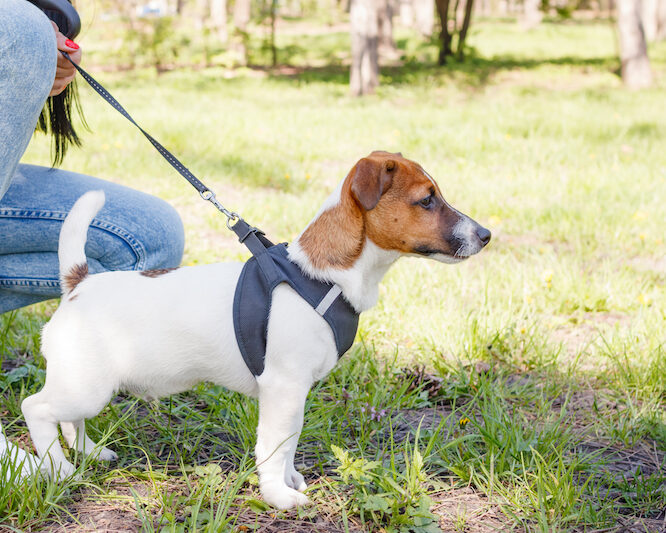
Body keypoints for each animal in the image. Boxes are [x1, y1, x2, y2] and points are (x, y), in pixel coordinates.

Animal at [22, 150, 488, 508]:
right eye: (426, 200)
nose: (485, 234)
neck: (323, 278)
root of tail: (79, 284)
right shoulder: (282, 387)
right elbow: (272, 446)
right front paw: (278, 496)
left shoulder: (294, 393)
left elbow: (289, 441)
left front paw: (289, 479)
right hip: (86, 385)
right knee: (37, 409)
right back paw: (61, 469)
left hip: (86, 385)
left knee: (71, 421)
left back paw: (90, 452)